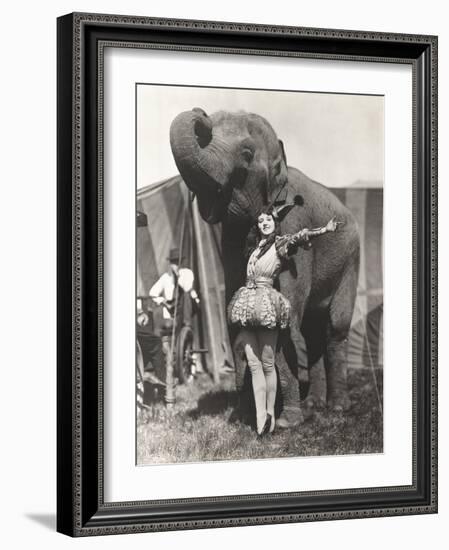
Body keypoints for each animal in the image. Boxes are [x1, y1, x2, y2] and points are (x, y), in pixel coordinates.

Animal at [169, 106, 360, 426]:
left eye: (246, 154)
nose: (200, 112)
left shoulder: (294, 225)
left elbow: (287, 319)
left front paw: (287, 421)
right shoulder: (230, 240)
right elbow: (233, 312)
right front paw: (242, 417)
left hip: (351, 261)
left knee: (335, 328)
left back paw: (336, 408)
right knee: (311, 330)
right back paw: (315, 404)